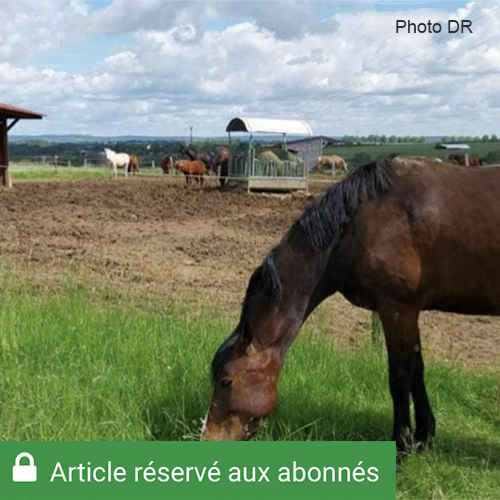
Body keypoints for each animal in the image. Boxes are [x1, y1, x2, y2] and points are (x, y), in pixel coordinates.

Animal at [202, 156, 500, 460]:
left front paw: (401, 447)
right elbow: (417, 371)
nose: (207, 439)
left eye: (226, 381)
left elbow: (400, 378)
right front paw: (423, 438)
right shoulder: (408, 311)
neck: (362, 223)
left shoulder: (397, 309)